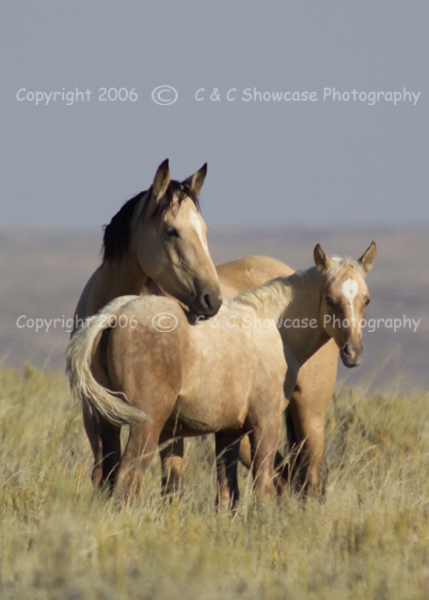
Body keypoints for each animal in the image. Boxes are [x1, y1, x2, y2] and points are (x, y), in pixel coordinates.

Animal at [67, 241, 374, 504]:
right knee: (127, 480)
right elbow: (264, 487)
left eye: (366, 300)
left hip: (105, 424)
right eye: (329, 298)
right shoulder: (266, 423)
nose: (353, 352)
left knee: (106, 477)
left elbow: (227, 495)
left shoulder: (228, 433)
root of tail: (115, 312)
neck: (273, 329)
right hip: (147, 426)